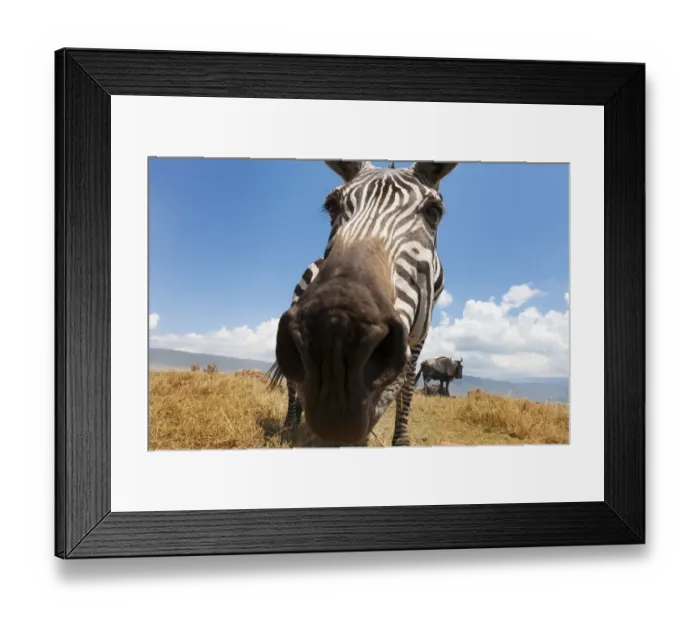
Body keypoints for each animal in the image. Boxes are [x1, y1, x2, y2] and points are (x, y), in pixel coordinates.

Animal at [269, 160, 458, 446]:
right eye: (332, 207)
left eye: (433, 213)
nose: (334, 338)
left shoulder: (420, 334)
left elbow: (406, 387)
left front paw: (400, 440)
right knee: (292, 381)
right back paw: (289, 424)